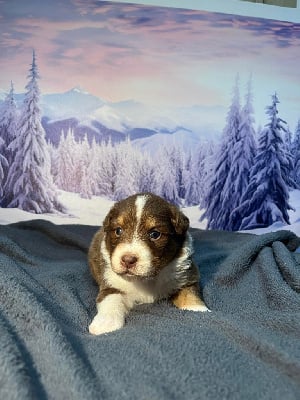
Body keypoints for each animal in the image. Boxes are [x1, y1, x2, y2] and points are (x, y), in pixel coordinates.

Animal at [87, 193, 209, 334]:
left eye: (155, 234)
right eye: (118, 231)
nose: (128, 260)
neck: (146, 280)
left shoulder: (187, 277)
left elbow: (189, 295)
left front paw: (199, 310)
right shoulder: (111, 283)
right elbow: (110, 299)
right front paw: (105, 323)